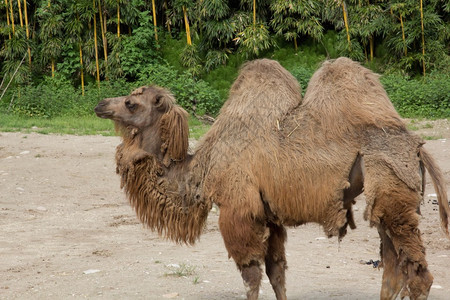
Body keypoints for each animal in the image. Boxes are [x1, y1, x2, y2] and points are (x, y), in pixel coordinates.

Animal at [93, 57, 448, 298]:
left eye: (131, 102)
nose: (100, 104)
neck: (201, 169)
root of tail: (417, 148)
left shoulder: (238, 210)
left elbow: (251, 276)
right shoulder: (271, 216)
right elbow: (277, 272)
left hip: (393, 192)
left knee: (419, 275)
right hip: (386, 202)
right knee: (394, 268)